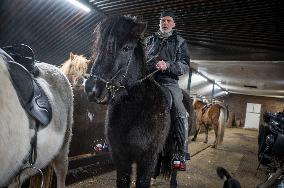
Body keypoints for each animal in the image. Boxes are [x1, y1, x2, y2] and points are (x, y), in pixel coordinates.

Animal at [84, 16, 191, 188]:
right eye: (99, 46)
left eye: (126, 48)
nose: (92, 90)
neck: (135, 109)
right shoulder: (121, 157)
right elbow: (123, 181)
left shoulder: (147, 158)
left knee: (174, 166)